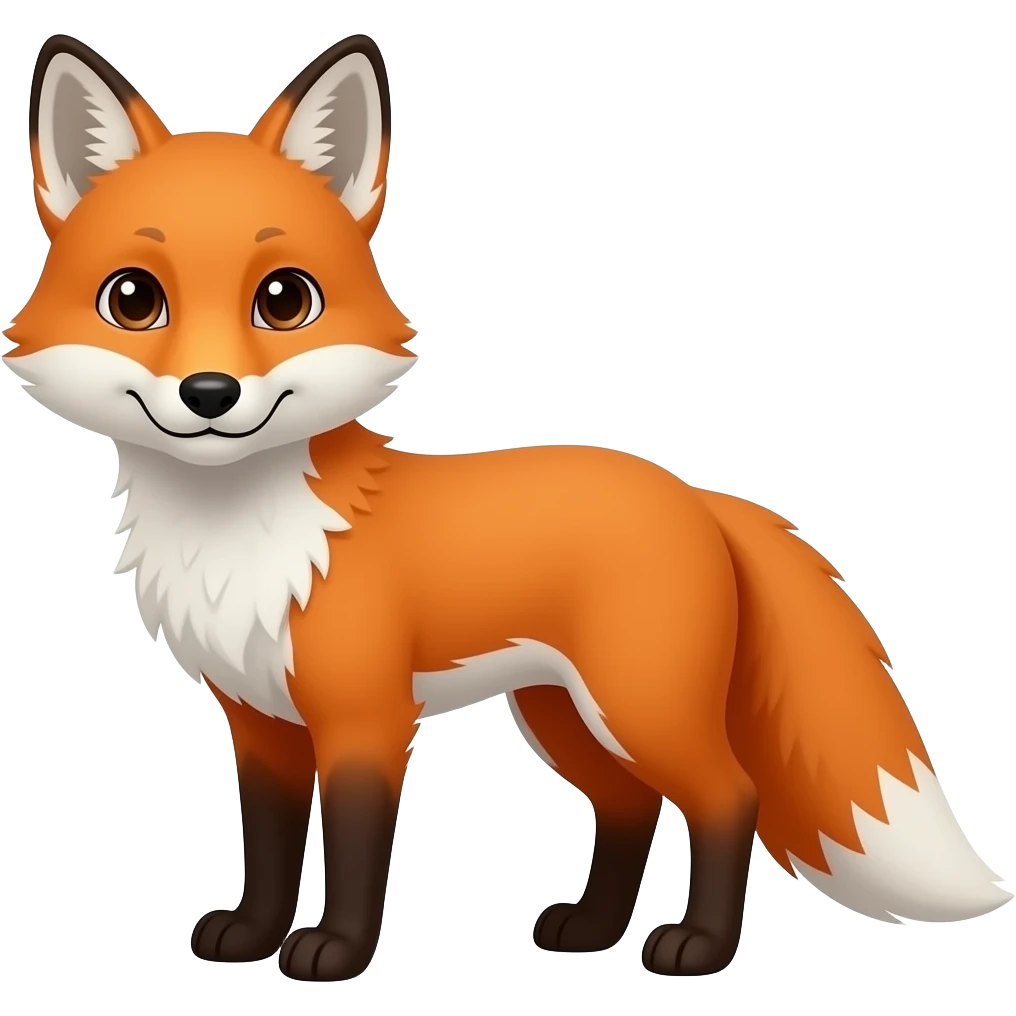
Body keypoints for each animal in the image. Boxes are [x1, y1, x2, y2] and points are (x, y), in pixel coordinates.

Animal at [4, 31, 1011, 983]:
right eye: (134, 299)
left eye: (283, 300)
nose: (209, 394)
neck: (240, 536)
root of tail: (696, 493)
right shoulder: (260, 723)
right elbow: (270, 847)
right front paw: (252, 937)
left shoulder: (367, 717)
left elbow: (357, 851)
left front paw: (337, 952)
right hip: (563, 714)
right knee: (630, 806)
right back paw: (593, 931)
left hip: (638, 705)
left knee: (728, 797)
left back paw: (698, 947)